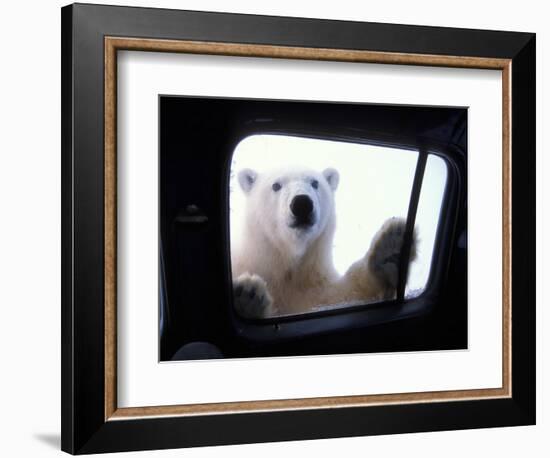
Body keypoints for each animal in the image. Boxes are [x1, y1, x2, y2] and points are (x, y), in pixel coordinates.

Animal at [232, 166, 418, 320]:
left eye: (315, 182)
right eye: (276, 185)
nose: (301, 203)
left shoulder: (313, 285)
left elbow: (342, 296)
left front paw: (389, 252)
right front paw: (248, 293)